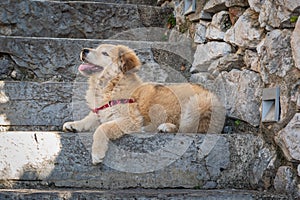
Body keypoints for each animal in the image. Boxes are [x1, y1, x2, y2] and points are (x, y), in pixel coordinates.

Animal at [62, 44, 225, 165]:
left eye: (104, 53)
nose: (84, 50)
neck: (110, 85)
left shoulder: (130, 120)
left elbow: (102, 128)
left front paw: (97, 153)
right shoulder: (101, 111)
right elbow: (88, 119)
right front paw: (74, 124)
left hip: (198, 104)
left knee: (188, 129)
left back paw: (165, 127)